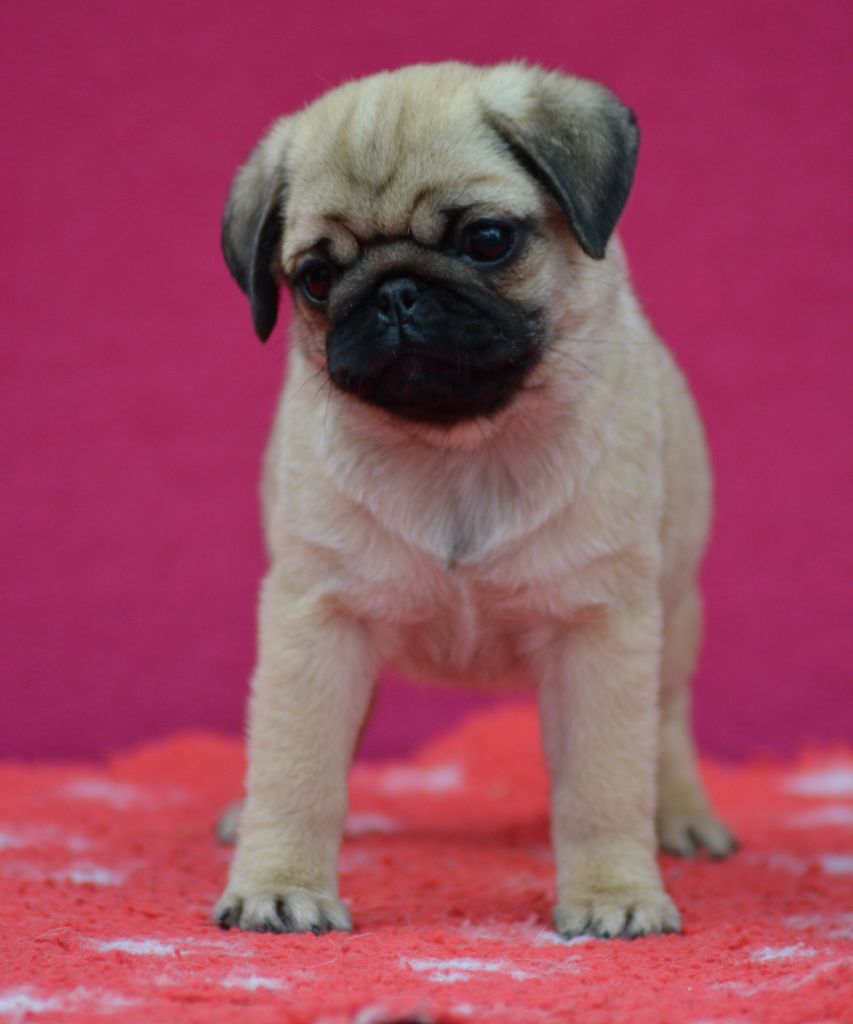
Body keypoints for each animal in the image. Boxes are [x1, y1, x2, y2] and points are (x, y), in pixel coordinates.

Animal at [214, 61, 735, 940]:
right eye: (317, 279)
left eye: (487, 241)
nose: (393, 292)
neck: (463, 448)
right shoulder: (313, 621)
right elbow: (297, 765)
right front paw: (280, 881)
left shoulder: (601, 632)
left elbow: (603, 785)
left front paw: (613, 894)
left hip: (672, 621)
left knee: (663, 727)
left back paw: (681, 817)